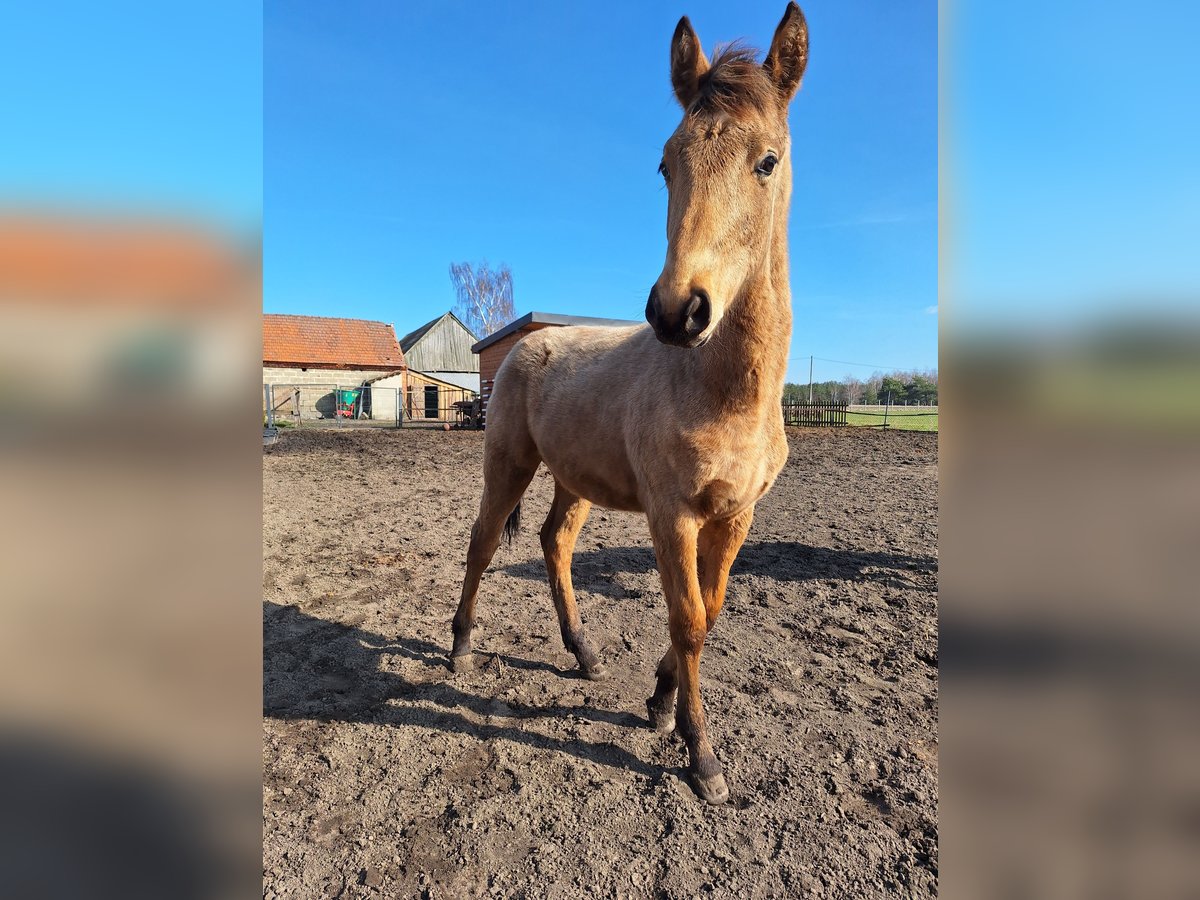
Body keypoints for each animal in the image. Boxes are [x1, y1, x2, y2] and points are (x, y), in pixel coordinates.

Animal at [453, 0, 811, 801]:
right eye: (666, 162)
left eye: (767, 160)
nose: (678, 311)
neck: (719, 392)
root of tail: (522, 348)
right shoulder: (671, 513)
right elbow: (688, 619)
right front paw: (700, 754)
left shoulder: (735, 515)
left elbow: (709, 610)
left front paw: (660, 700)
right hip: (508, 464)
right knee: (484, 542)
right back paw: (458, 649)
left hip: (575, 480)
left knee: (554, 543)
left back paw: (583, 652)